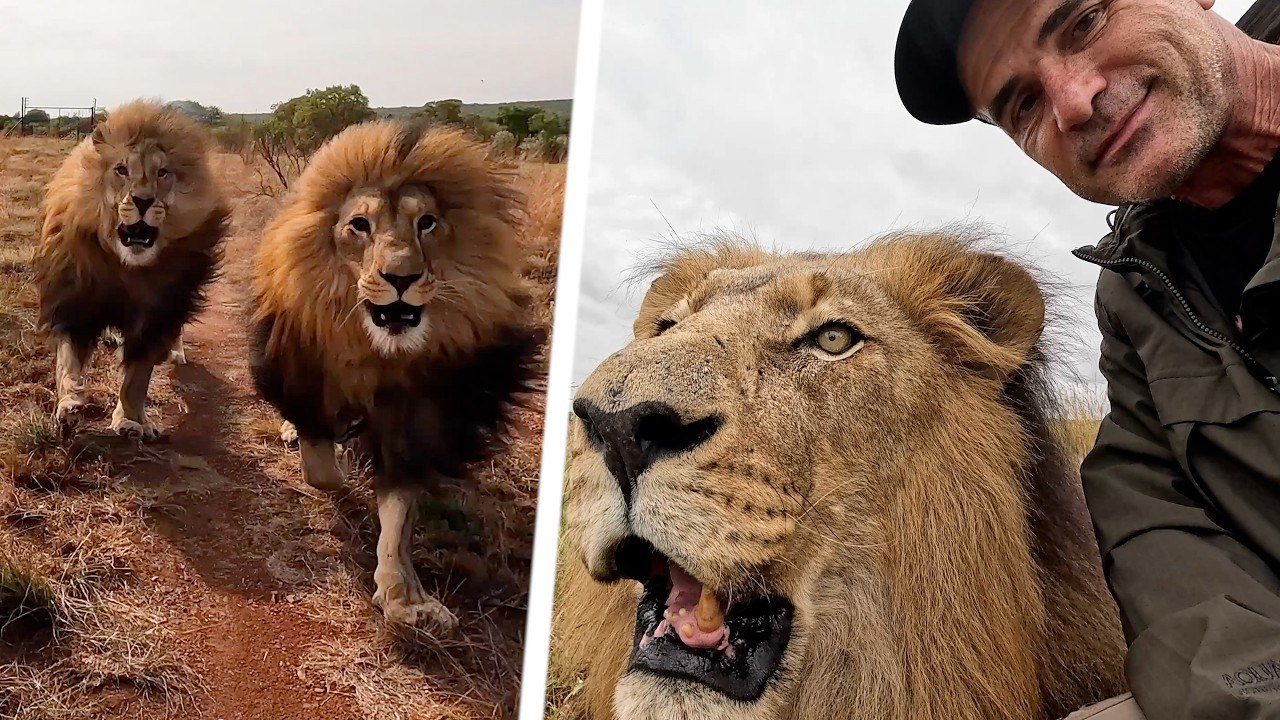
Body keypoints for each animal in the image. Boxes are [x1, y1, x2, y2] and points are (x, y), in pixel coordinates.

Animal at [34, 100, 230, 439]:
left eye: (163, 173)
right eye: (121, 170)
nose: (142, 201)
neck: (128, 268)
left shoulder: (159, 314)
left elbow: (138, 378)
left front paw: (130, 420)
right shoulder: (75, 302)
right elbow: (67, 363)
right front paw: (69, 406)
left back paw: (175, 353)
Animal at [249, 121, 543, 630]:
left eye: (426, 222)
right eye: (359, 225)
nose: (401, 278)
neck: (380, 353)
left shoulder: (419, 416)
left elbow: (398, 510)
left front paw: (405, 595)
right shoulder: (298, 377)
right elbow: (322, 468)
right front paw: (339, 464)